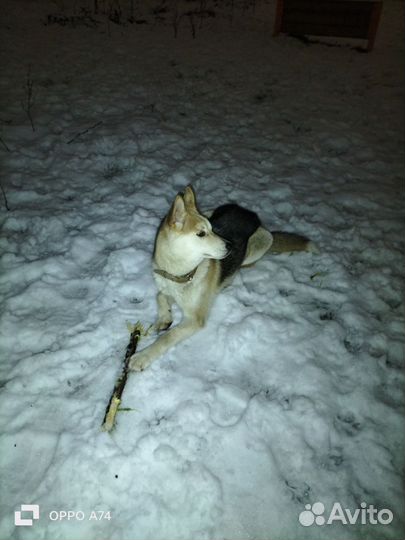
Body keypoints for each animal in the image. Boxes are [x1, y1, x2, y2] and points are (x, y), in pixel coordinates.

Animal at [129, 186, 316, 372]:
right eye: (201, 234)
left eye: (211, 230)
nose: (231, 246)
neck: (181, 274)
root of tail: (248, 212)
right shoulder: (167, 286)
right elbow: (160, 296)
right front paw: (164, 318)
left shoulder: (195, 318)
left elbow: (168, 336)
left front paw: (143, 356)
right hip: (213, 212)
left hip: (262, 240)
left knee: (247, 264)